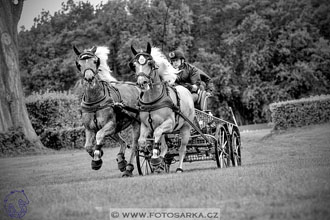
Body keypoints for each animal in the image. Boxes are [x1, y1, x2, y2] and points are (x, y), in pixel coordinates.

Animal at [74, 45, 140, 176]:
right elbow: (87, 146)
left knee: (135, 146)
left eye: (95, 61)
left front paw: (97, 158)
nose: (89, 78)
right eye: (79, 64)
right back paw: (121, 161)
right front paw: (97, 155)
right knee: (123, 142)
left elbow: (99, 136)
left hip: (135, 124)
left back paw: (128, 168)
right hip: (115, 129)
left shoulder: (110, 124)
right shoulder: (89, 128)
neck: (95, 101)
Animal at [130, 43, 196, 173]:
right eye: (134, 65)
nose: (142, 82)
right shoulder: (146, 125)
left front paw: (155, 156)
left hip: (186, 127)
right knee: (164, 144)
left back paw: (178, 168)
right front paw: (149, 153)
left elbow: (157, 133)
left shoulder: (170, 123)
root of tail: (185, 89)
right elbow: (141, 140)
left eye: (150, 63)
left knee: (182, 149)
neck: (152, 101)